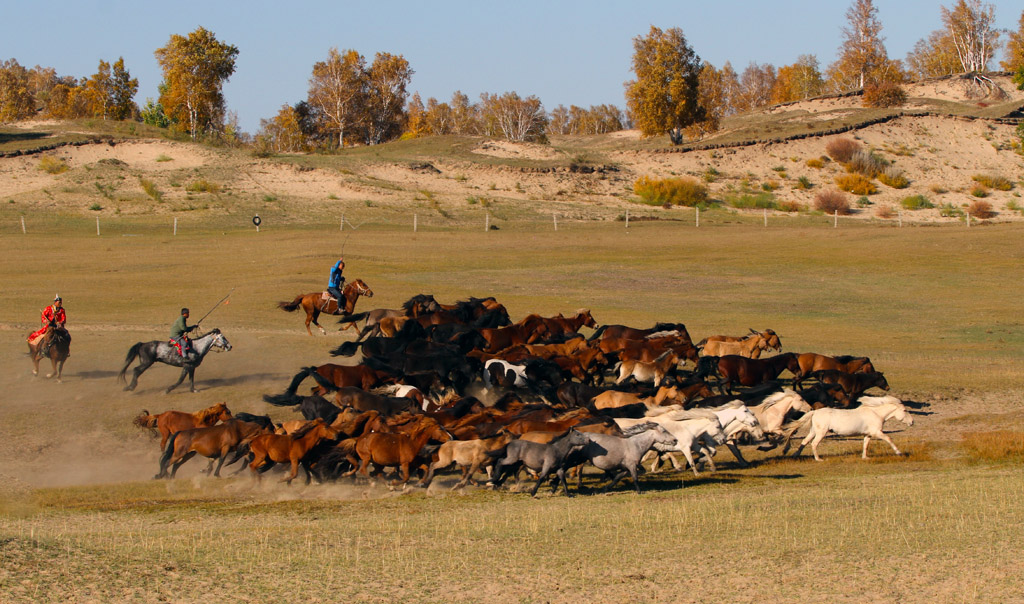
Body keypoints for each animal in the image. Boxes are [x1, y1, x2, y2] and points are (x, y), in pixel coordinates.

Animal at [782, 395, 913, 460]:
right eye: (905, 410)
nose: (912, 422)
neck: (876, 413)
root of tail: (815, 412)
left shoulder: (868, 434)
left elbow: (865, 445)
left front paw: (865, 457)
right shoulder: (877, 432)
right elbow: (889, 439)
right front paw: (899, 453)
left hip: (814, 431)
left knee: (805, 441)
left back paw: (795, 455)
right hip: (821, 432)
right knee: (813, 444)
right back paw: (818, 459)